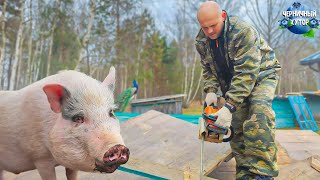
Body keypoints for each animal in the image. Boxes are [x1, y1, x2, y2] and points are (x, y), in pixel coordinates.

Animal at [0, 67, 130, 179]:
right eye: (78, 118)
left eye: (111, 112)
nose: (118, 147)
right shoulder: (40, 158)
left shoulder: (72, 164)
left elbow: (72, 175)